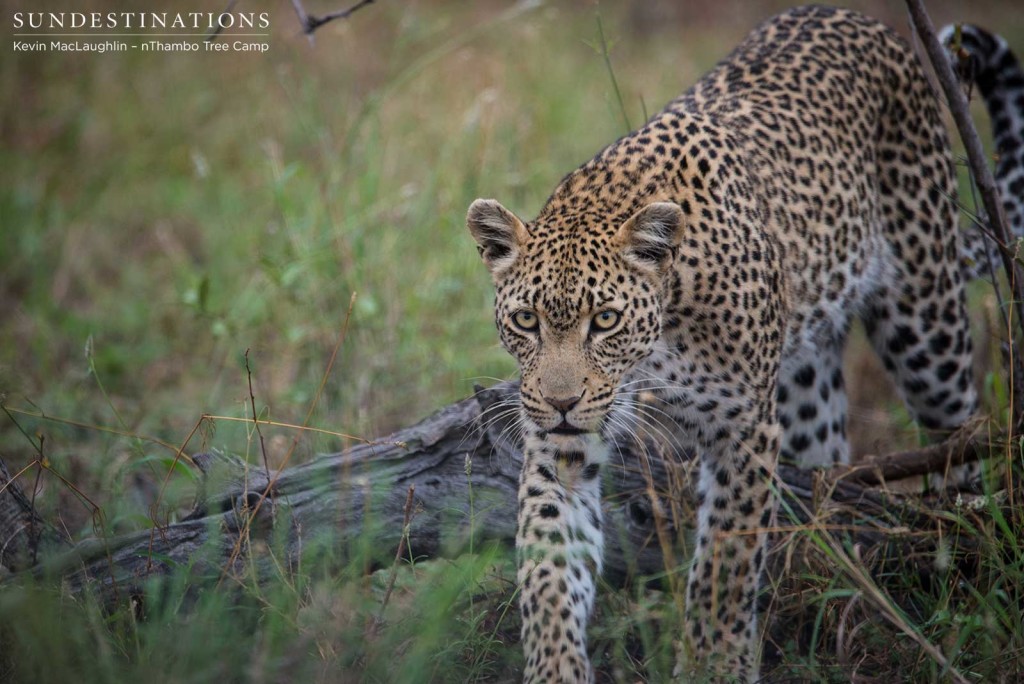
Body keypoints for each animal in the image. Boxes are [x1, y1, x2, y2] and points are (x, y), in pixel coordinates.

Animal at [464, 6, 974, 684]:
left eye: (605, 320)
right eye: (526, 321)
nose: (563, 402)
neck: (656, 348)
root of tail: (855, 16)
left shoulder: (744, 431)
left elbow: (723, 569)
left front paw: (716, 664)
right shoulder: (557, 447)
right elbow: (548, 571)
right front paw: (556, 668)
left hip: (928, 320)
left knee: (959, 429)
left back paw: (961, 541)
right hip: (807, 389)